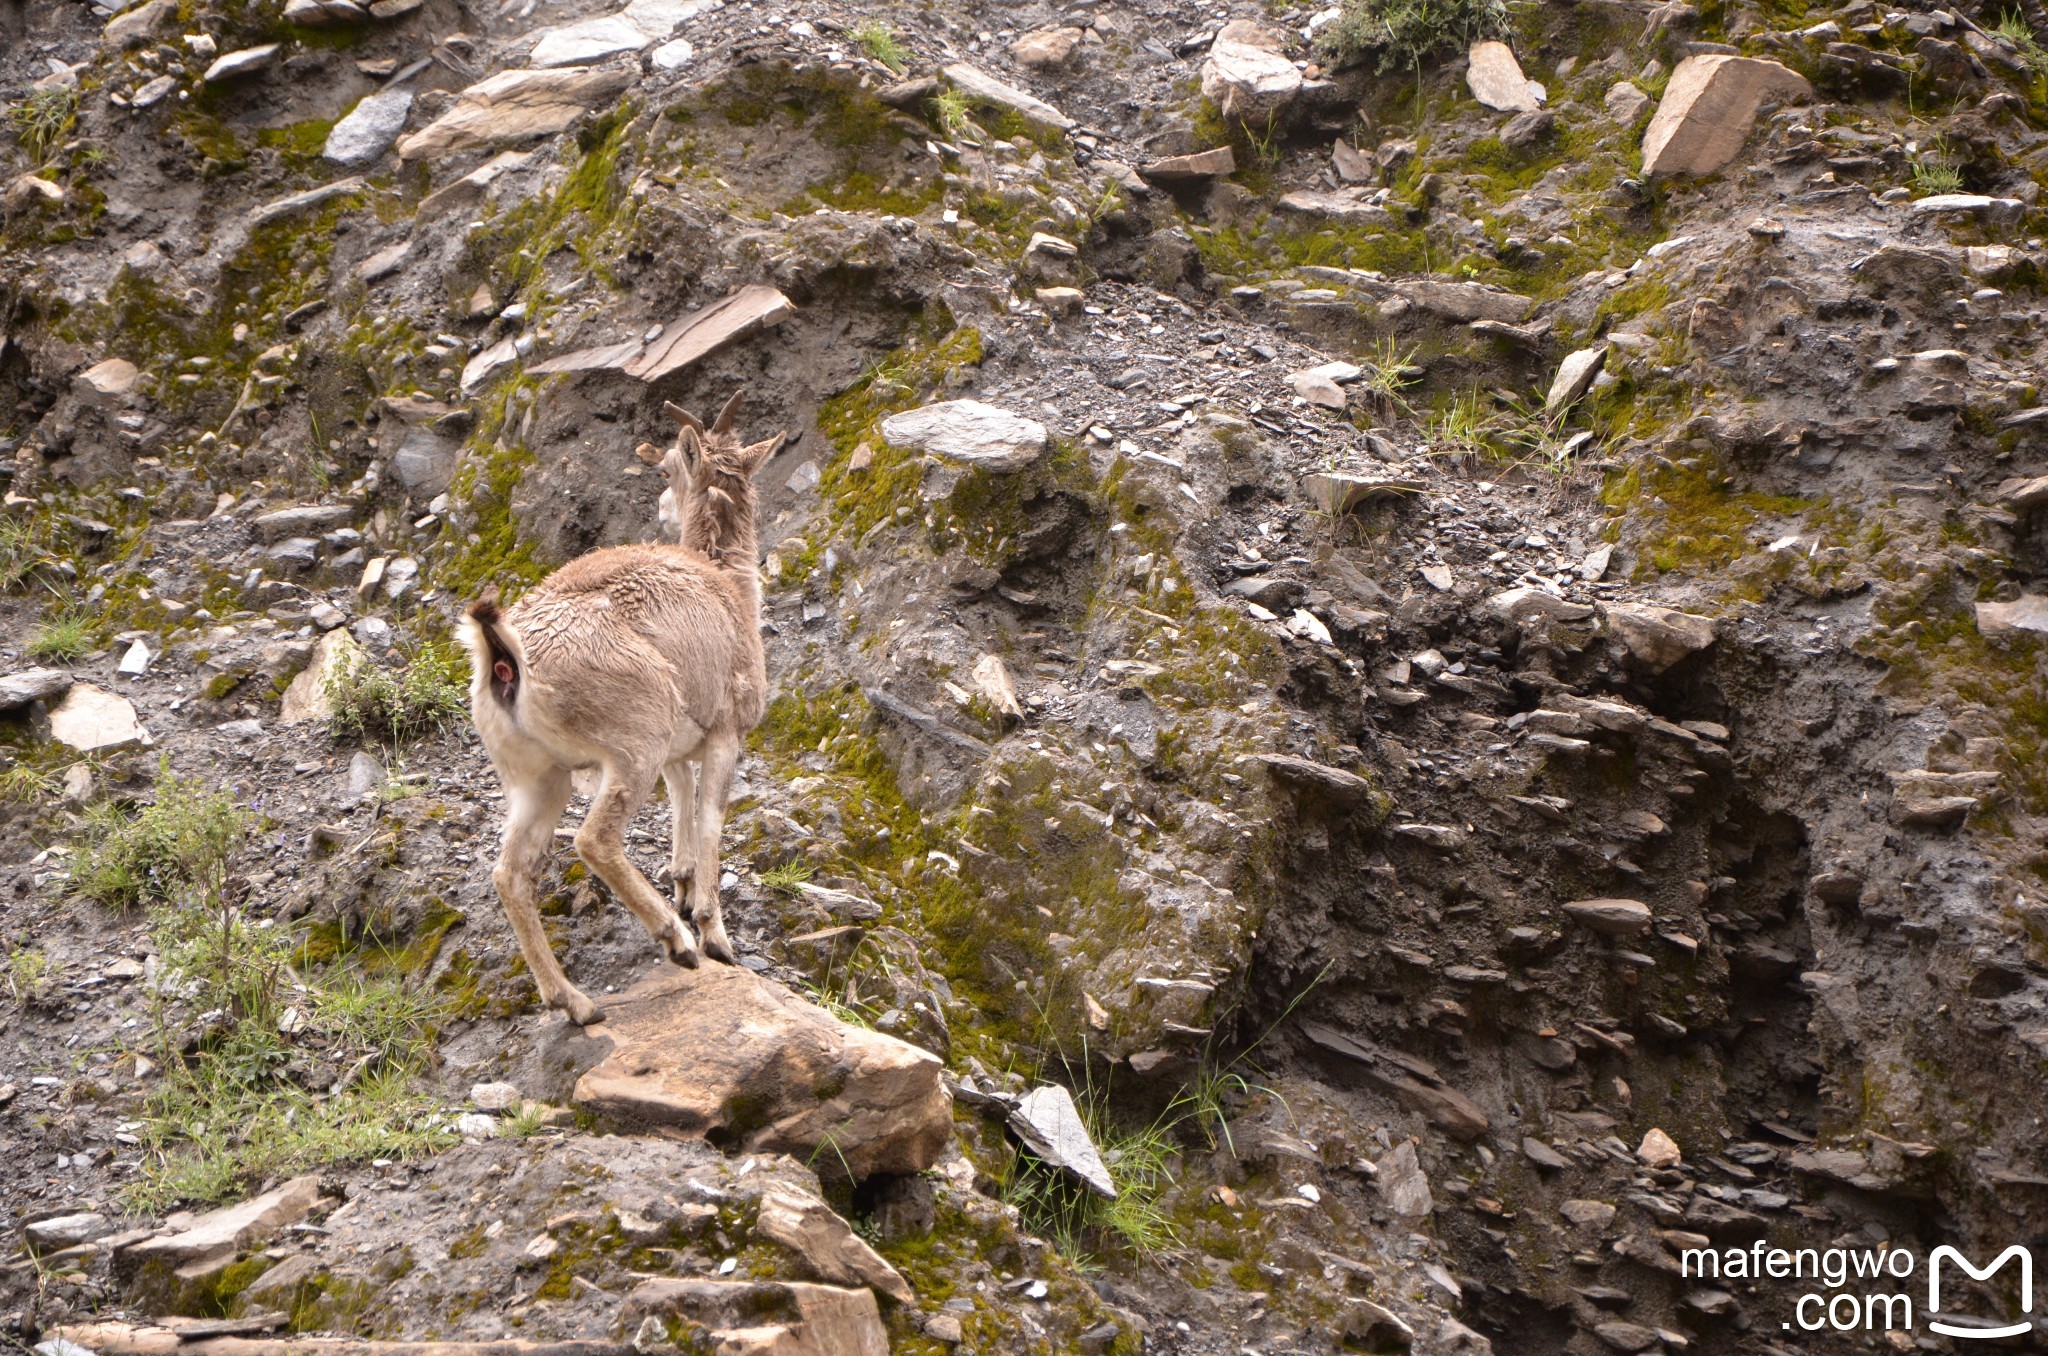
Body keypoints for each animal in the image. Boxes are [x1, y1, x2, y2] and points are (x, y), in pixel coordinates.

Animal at [458, 387, 782, 1024]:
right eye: (666, 468)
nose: (660, 505)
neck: (727, 588)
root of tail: (504, 658)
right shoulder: (725, 733)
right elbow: (710, 820)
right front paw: (713, 932)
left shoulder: (679, 752)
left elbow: (683, 804)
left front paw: (682, 884)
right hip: (632, 744)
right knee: (593, 841)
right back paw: (677, 944)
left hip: (540, 777)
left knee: (510, 873)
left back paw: (574, 1001)